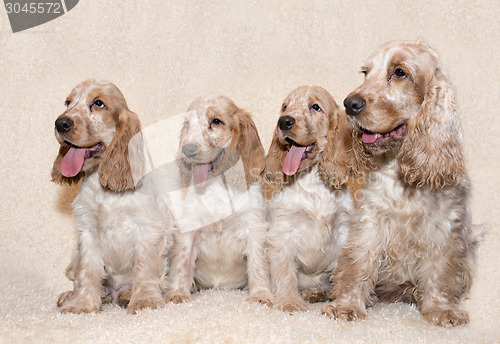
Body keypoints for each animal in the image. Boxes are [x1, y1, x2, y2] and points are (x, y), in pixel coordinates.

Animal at [51, 80, 170, 314]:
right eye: (68, 102)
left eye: (98, 103)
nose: (60, 123)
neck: (104, 188)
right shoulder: (87, 230)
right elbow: (87, 270)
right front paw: (82, 304)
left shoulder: (148, 227)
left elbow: (144, 267)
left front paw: (145, 301)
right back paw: (74, 296)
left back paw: (126, 295)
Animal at [166, 95, 272, 306]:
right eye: (188, 124)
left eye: (216, 121)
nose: (187, 150)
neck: (216, 183)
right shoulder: (190, 228)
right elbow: (182, 262)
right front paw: (178, 293)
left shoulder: (254, 227)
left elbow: (258, 265)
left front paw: (261, 295)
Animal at [264, 86, 354, 312]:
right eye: (285, 107)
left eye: (315, 107)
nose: (284, 122)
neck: (312, 180)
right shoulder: (282, 232)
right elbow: (285, 272)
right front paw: (289, 301)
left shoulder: (343, 230)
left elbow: (344, 271)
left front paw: (342, 301)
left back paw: (318, 292)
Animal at [318, 41, 486, 328]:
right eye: (365, 72)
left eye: (399, 72)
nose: (349, 104)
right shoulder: (370, 222)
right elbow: (357, 265)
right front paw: (346, 306)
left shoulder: (443, 228)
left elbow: (440, 271)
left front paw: (441, 309)